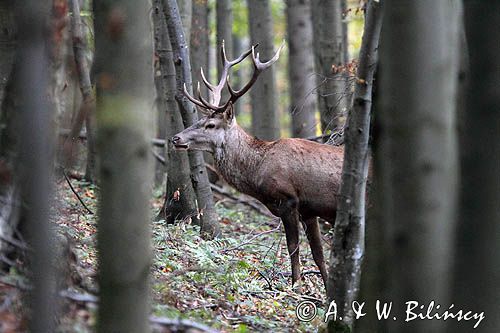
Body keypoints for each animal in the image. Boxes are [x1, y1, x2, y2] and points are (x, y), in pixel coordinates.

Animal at [172, 41, 344, 288]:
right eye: (199, 120)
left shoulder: (288, 200)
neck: (257, 172)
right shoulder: (309, 210)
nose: (175, 138)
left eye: (211, 125)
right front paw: (327, 288)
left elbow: (294, 248)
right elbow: (318, 254)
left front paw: (295, 286)